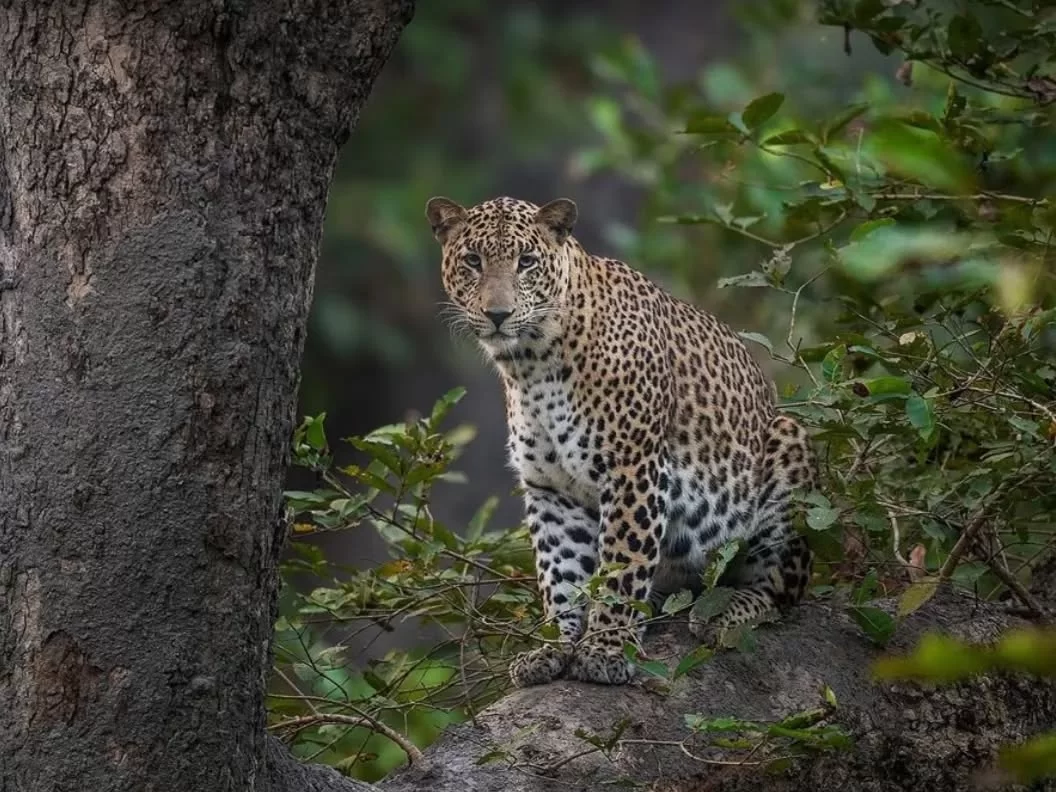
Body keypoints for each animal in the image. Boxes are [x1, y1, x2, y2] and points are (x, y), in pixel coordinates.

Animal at [425, 195, 816, 687]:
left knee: (781, 590)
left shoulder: (634, 468)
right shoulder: (550, 487)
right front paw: (554, 645)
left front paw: (605, 648)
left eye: (526, 262)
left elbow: (622, 563)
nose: (498, 314)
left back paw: (723, 610)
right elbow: (560, 573)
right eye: (473, 261)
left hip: (788, 450)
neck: (531, 364)